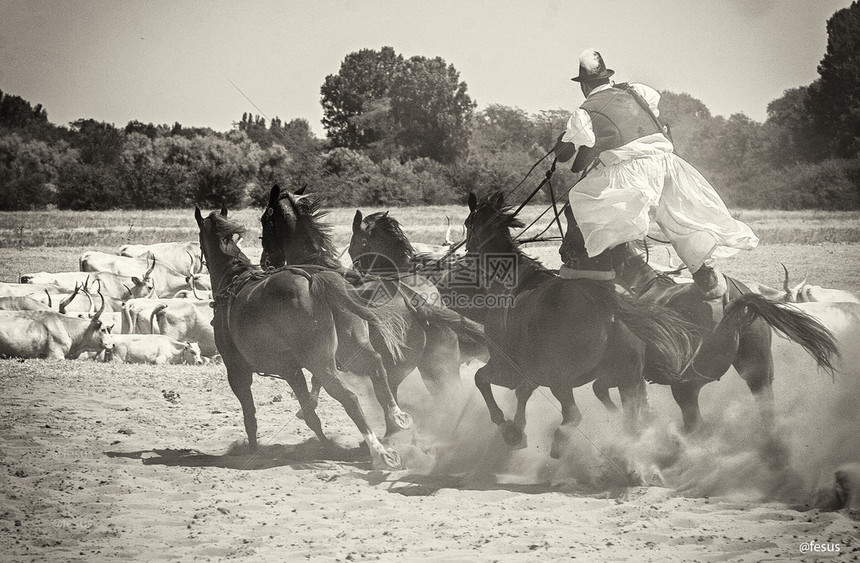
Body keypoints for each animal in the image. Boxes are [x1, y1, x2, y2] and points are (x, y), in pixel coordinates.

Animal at [196, 205, 410, 470]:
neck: (233, 280)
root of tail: (316, 279)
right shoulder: (291, 370)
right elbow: (309, 413)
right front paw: (326, 447)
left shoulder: (237, 372)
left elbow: (250, 415)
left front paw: (253, 451)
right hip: (353, 348)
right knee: (378, 368)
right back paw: (397, 418)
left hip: (321, 363)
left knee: (349, 398)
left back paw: (380, 452)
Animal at [464, 192, 700, 456]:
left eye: (467, 223)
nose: (467, 254)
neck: (511, 281)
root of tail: (608, 305)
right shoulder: (530, 374)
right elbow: (521, 393)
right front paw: (517, 428)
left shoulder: (506, 369)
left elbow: (482, 379)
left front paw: (509, 429)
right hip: (626, 379)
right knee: (629, 422)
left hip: (561, 381)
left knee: (573, 415)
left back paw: (560, 442)